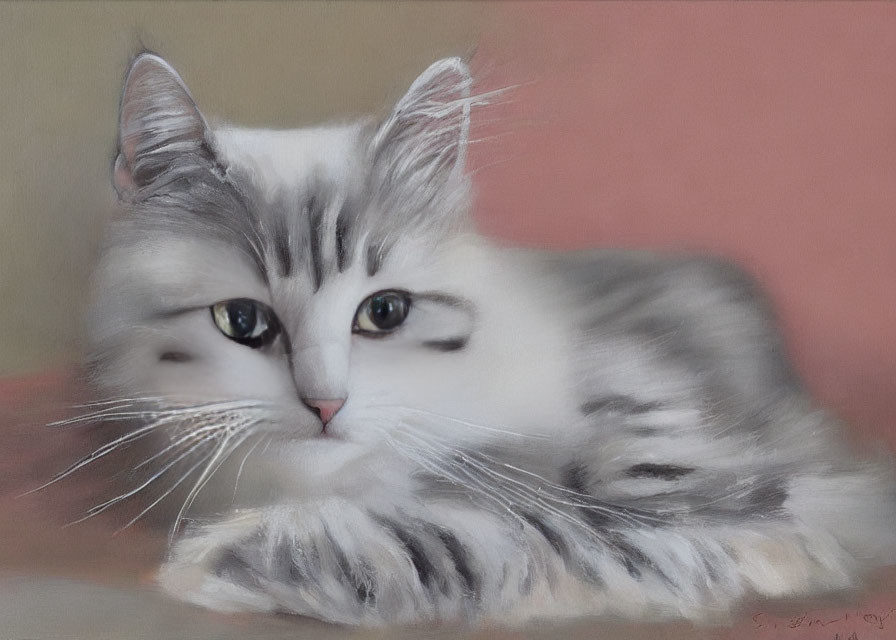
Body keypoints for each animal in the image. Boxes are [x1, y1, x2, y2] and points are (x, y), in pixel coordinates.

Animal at [73, 53, 892, 624]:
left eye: (384, 313)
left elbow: (481, 536)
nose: (325, 404)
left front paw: (220, 560)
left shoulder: (715, 518)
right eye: (243, 323)